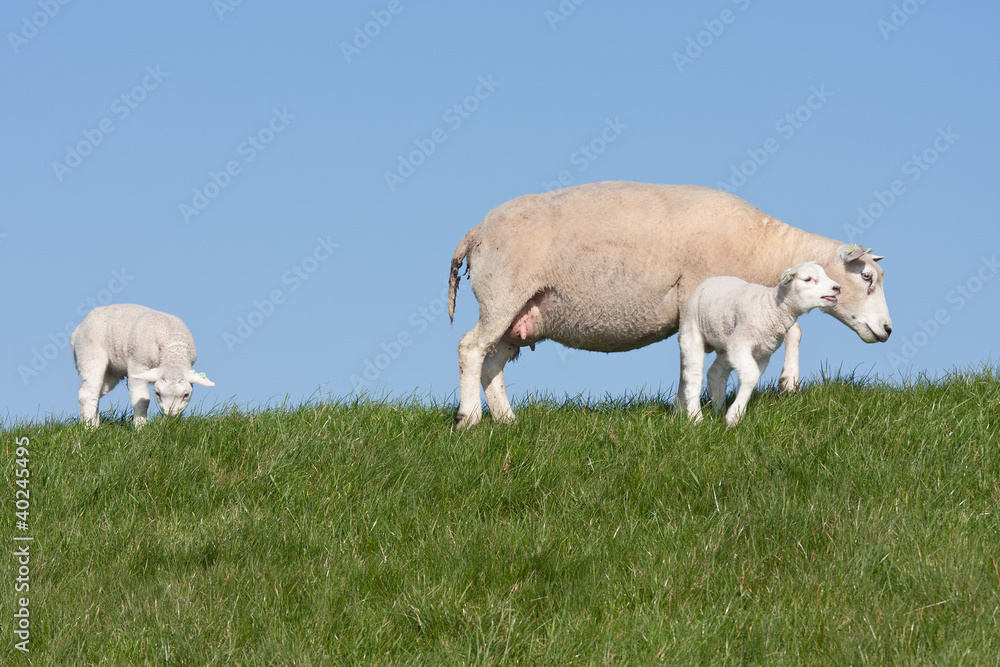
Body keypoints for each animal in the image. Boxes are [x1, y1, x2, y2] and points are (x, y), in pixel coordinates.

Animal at [70, 306, 215, 430]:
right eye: (157, 393)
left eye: (186, 395)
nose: (171, 416)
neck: (173, 348)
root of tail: (78, 329)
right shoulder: (137, 363)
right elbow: (141, 400)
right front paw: (140, 428)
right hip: (90, 354)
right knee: (87, 393)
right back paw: (89, 428)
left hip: (110, 374)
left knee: (95, 393)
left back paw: (93, 424)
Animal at [676, 260, 840, 428]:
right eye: (808, 279)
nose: (837, 288)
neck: (770, 307)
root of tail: (710, 280)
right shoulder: (740, 342)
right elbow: (750, 375)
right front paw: (734, 416)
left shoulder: (762, 353)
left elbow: (752, 377)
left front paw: (733, 415)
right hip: (692, 331)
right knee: (693, 375)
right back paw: (696, 418)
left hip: (725, 344)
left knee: (715, 373)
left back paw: (718, 412)